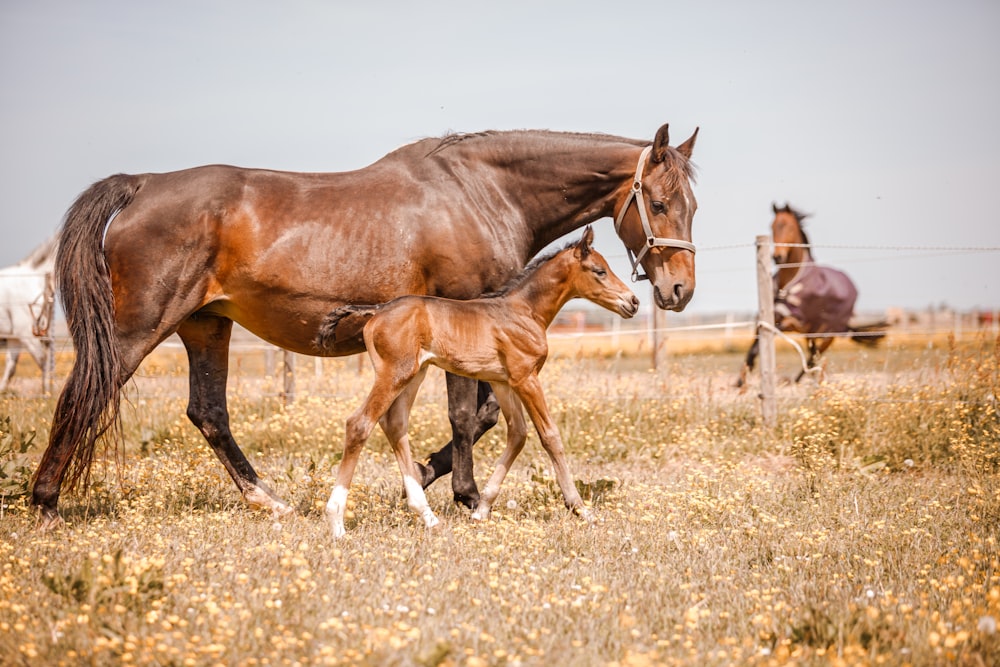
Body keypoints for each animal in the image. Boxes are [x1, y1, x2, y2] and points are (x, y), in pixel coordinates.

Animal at [316, 227, 636, 540]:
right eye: (600, 271)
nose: (633, 302)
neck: (524, 311)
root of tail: (378, 311)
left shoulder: (505, 382)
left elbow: (517, 434)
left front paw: (481, 510)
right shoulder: (527, 378)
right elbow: (549, 436)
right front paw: (581, 509)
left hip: (414, 374)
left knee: (394, 424)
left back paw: (428, 517)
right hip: (394, 373)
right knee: (359, 423)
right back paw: (337, 523)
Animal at [740, 202, 888, 386]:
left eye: (789, 226)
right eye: (772, 226)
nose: (778, 257)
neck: (787, 284)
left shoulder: (791, 321)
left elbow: (761, 343)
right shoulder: (766, 318)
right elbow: (753, 348)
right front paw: (740, 381)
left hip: (829, 333)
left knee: (814, 356)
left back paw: (799, 381)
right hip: (811, 333)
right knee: (813, 353)